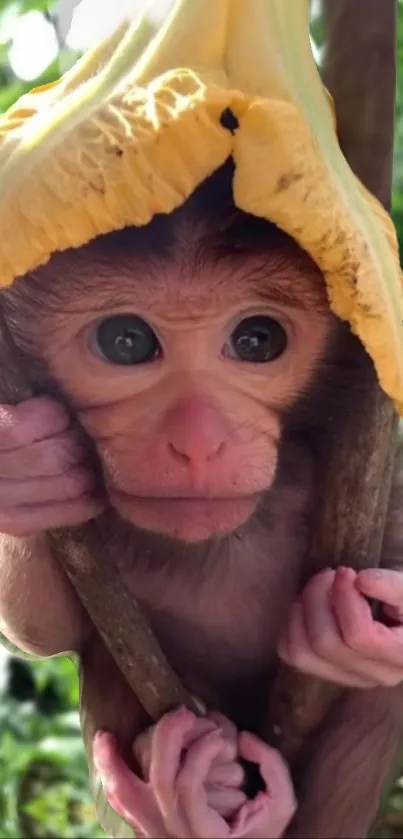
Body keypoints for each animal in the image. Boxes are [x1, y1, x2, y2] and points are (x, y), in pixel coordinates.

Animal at [0, 161, 403, 836]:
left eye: (257, 339)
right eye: (126, 341)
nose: (197, 443)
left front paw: (353, 636)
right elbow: (45, 630)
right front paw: (26, 467)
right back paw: (181, 796)